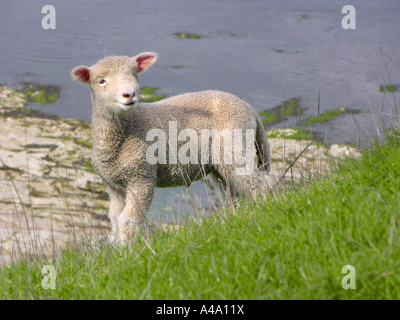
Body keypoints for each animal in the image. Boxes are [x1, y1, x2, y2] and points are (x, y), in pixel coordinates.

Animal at [71, 52, 272, 242]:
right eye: (101, 81)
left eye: (135, 74)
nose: (129, 95)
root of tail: (251, 111)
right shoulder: (114, 185)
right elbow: (115, 217)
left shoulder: (142, 177)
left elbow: (128, 219)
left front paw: (127, 249)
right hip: (218, 164)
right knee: (232, 194)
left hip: (232, 145)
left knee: (258, 184)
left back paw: (264, 212)